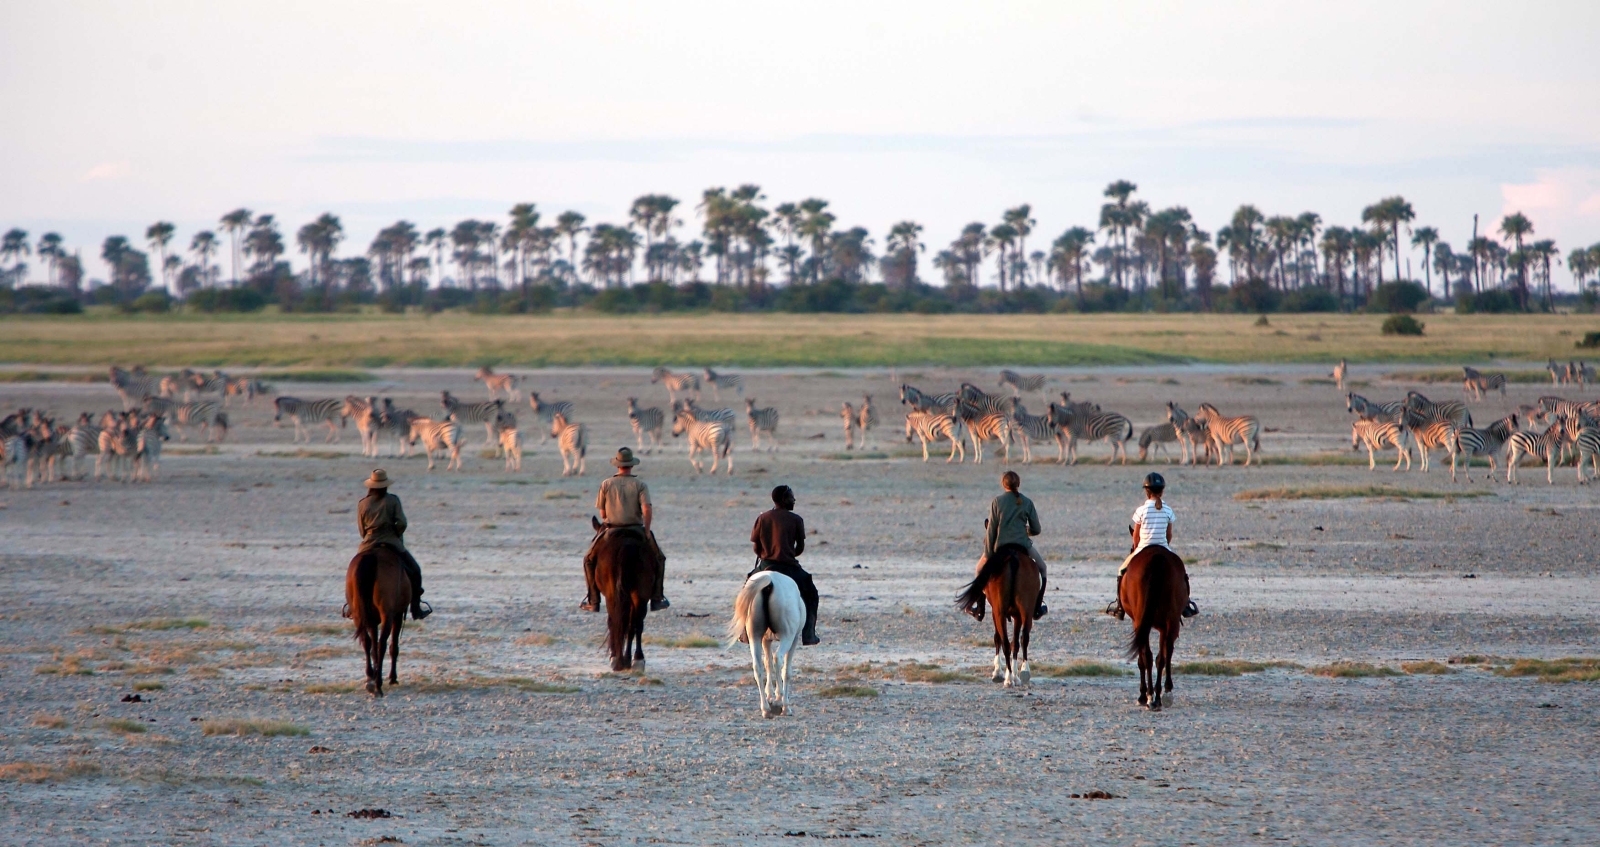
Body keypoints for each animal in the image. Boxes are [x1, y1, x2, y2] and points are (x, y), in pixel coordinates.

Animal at [345, 546, 411, 697]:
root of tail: (371, 557)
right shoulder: (397, 615)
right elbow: (393, 646)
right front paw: (392, 678)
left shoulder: (372, 620)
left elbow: (372, 644)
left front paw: (374, 673)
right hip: (387, 615)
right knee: (382, 644)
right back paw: (378, 685)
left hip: (358, 614)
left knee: (366, 641)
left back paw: (370, 678)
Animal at [593, 525, 656, 672]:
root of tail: (625, 546)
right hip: (639, 596)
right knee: (635, 624)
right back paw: (634, 659)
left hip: (614, 596)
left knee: (617, 622)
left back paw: (621, 660)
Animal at [726, 570, 805, 718]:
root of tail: (770, 580)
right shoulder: (795, 639)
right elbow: (786, 671)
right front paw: (781, 701)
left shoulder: (765, 640)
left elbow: (767, 663)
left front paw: (770, 696)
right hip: (788, 636)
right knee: (778, 659)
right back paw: (782, 703)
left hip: (755, 636)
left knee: (757, 666)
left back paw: (766, 708)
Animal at [955, 544, 1039, 688]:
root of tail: (1013, 556)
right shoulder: (1016, 615)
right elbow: (1015, 643)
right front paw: (1014, 675)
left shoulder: (996, 613)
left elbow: (997, 638)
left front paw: (998, 672)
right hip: (1026, 610)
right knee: (1023, 638)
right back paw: (1023, 672)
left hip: (1000, 612)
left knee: (1005, 642)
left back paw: (1009, 678)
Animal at [1120, 528, 1188, 711]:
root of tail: (1157, 558)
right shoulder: (1163, 626)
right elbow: (1162, 656)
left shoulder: (1138, 623)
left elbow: (1142, 659)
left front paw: (1143, 695)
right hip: (1171, 621)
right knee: (1163, 655)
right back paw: (1161, 695)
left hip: (1143, 622)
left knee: (1149, 656)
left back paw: (1149, 696)